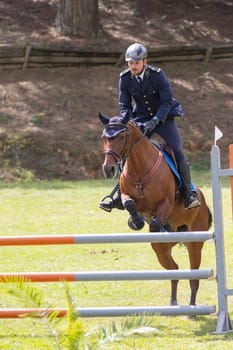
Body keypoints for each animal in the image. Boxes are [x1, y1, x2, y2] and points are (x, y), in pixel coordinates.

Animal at [99, 112, 213, 306]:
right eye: (104, 138)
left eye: (121, 137)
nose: (109, 168)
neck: (140, 168)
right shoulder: (126, 196)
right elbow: (129, 204)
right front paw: (136, 221)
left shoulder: (166, 202)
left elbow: (155, 221)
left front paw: (155, 225)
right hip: (161, 250)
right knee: (174, 269)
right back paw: (173, 303)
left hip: (195, 242)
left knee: (194, 276)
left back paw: (191, 307)